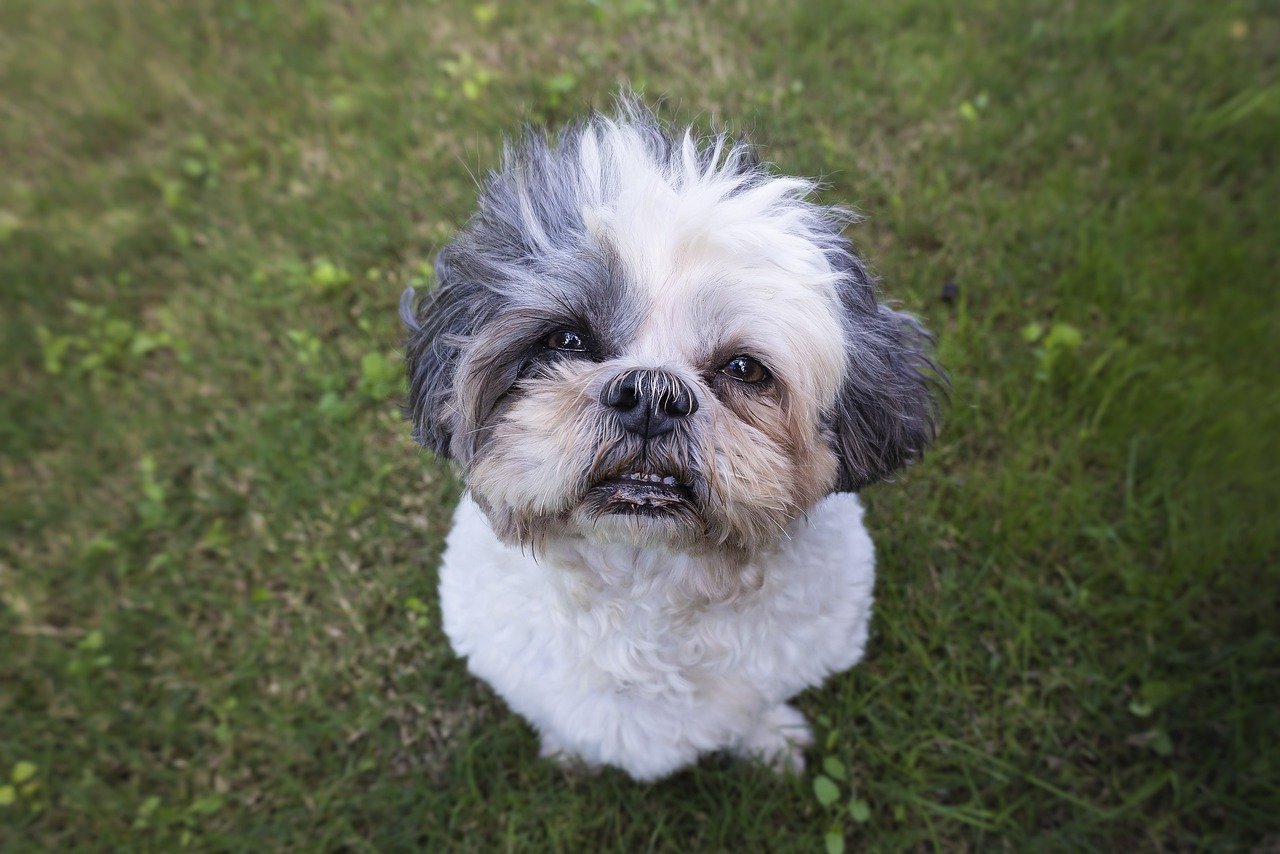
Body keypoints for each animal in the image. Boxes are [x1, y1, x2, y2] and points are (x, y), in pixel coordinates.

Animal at [399, 100, 942, 783]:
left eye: (744, 369)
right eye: (565, 340)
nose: (652, 395)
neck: (647, 582)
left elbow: (757, 708)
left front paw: (769, 740)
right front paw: (570, 752)